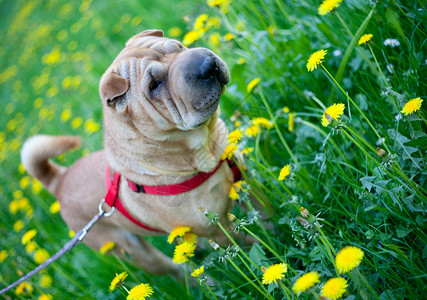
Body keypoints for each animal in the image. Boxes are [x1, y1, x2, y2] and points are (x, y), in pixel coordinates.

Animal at [20, 29, 241, 278]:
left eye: (178, 46)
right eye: (154, 85)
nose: (207, 64)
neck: (206, 147)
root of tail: (59, 179)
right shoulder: (219, 228)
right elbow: (249, 242)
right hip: (131, 249)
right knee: (173, 269)